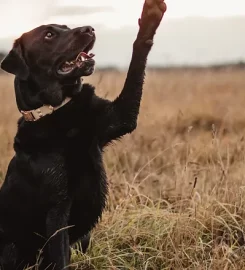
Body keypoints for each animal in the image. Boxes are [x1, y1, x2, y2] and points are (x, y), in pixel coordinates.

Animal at [0, 1, 167, 268]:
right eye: (49, 35)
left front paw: (151, 16)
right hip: (12, 246)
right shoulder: (57, 209)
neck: (58, 111)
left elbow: (137, 59)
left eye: (66, 27)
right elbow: (60, 256)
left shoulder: (119, 117)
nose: (89, 29)